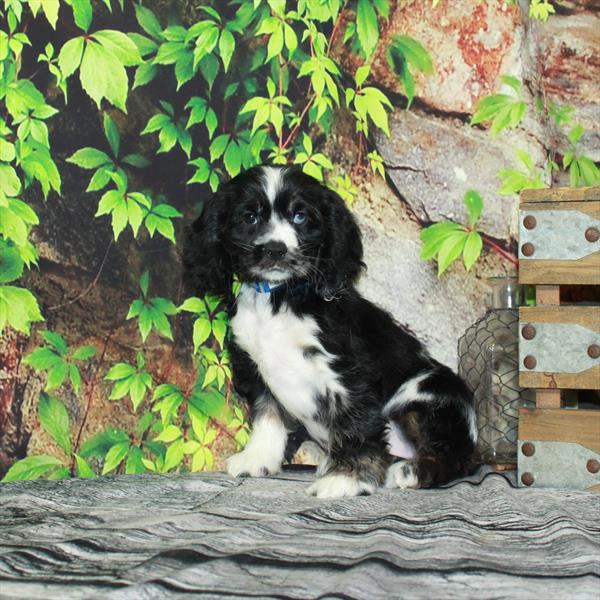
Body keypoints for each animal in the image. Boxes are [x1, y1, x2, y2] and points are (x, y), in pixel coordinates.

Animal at [185, 164, 476, 496]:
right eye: (249, 217)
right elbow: (266, 416)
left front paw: (347, 478)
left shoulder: (348, 373)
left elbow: (355, 423)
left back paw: (409, 471)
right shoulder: (255, 368)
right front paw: (258, 458)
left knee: (453, 459)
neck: (280, 298)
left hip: (420, 394)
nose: (275, 249)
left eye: (300, 216)